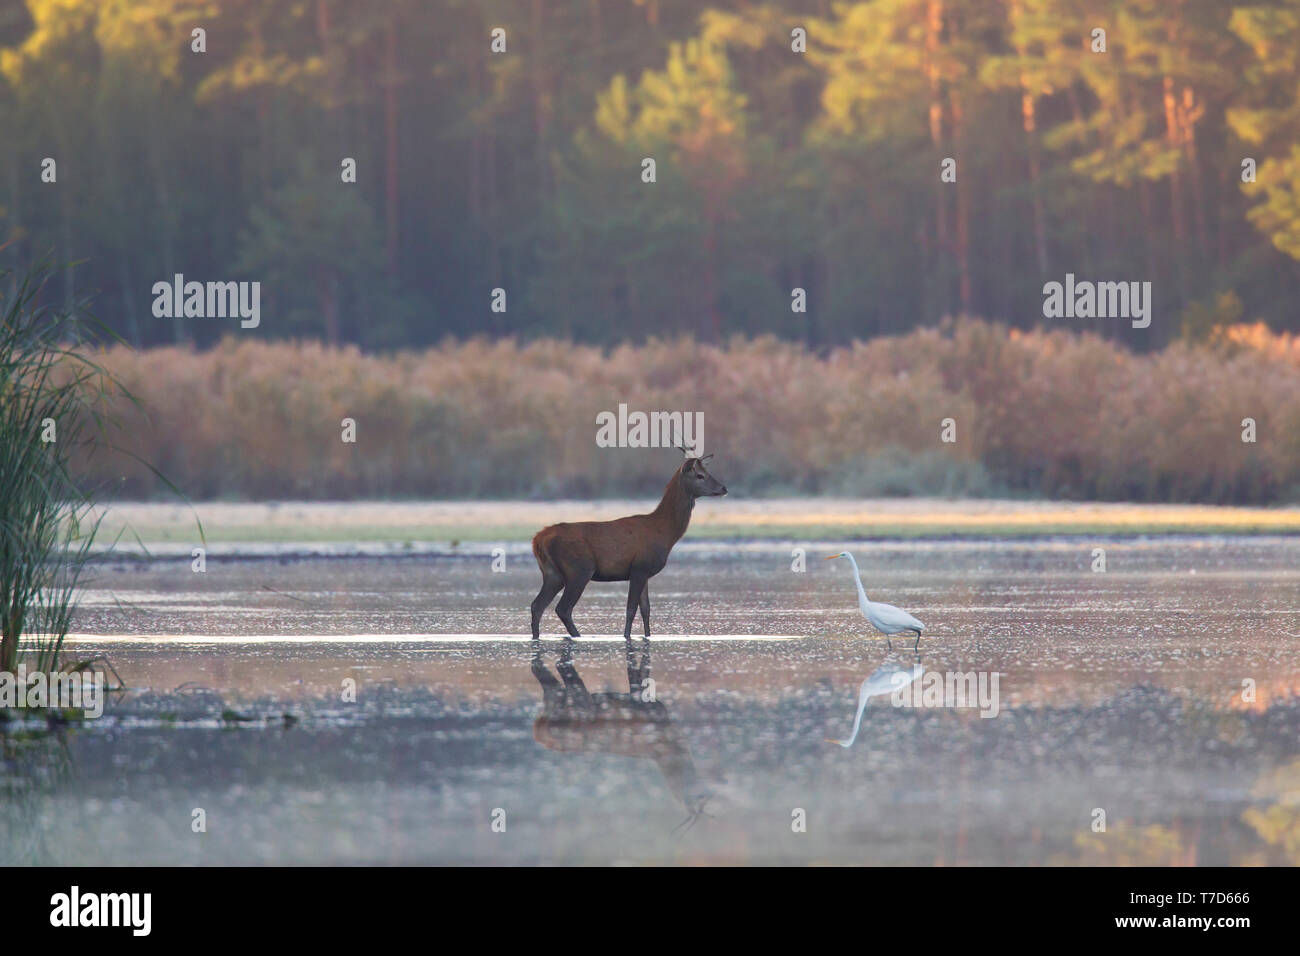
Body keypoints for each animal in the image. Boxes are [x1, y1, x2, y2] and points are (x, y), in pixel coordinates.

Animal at [530, 450, 733, 642]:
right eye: (700, 475)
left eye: (707, 471)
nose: (723, 488)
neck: (665, 533)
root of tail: (538, 539)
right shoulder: (639, 568)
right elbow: (631, 609)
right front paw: (626, 637)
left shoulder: (644, 572)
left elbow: (646, 609)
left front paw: (648, 636)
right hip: (579, 569)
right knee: (563, 608)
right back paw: (578, 636)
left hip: (552, 573)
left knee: (536, 606)